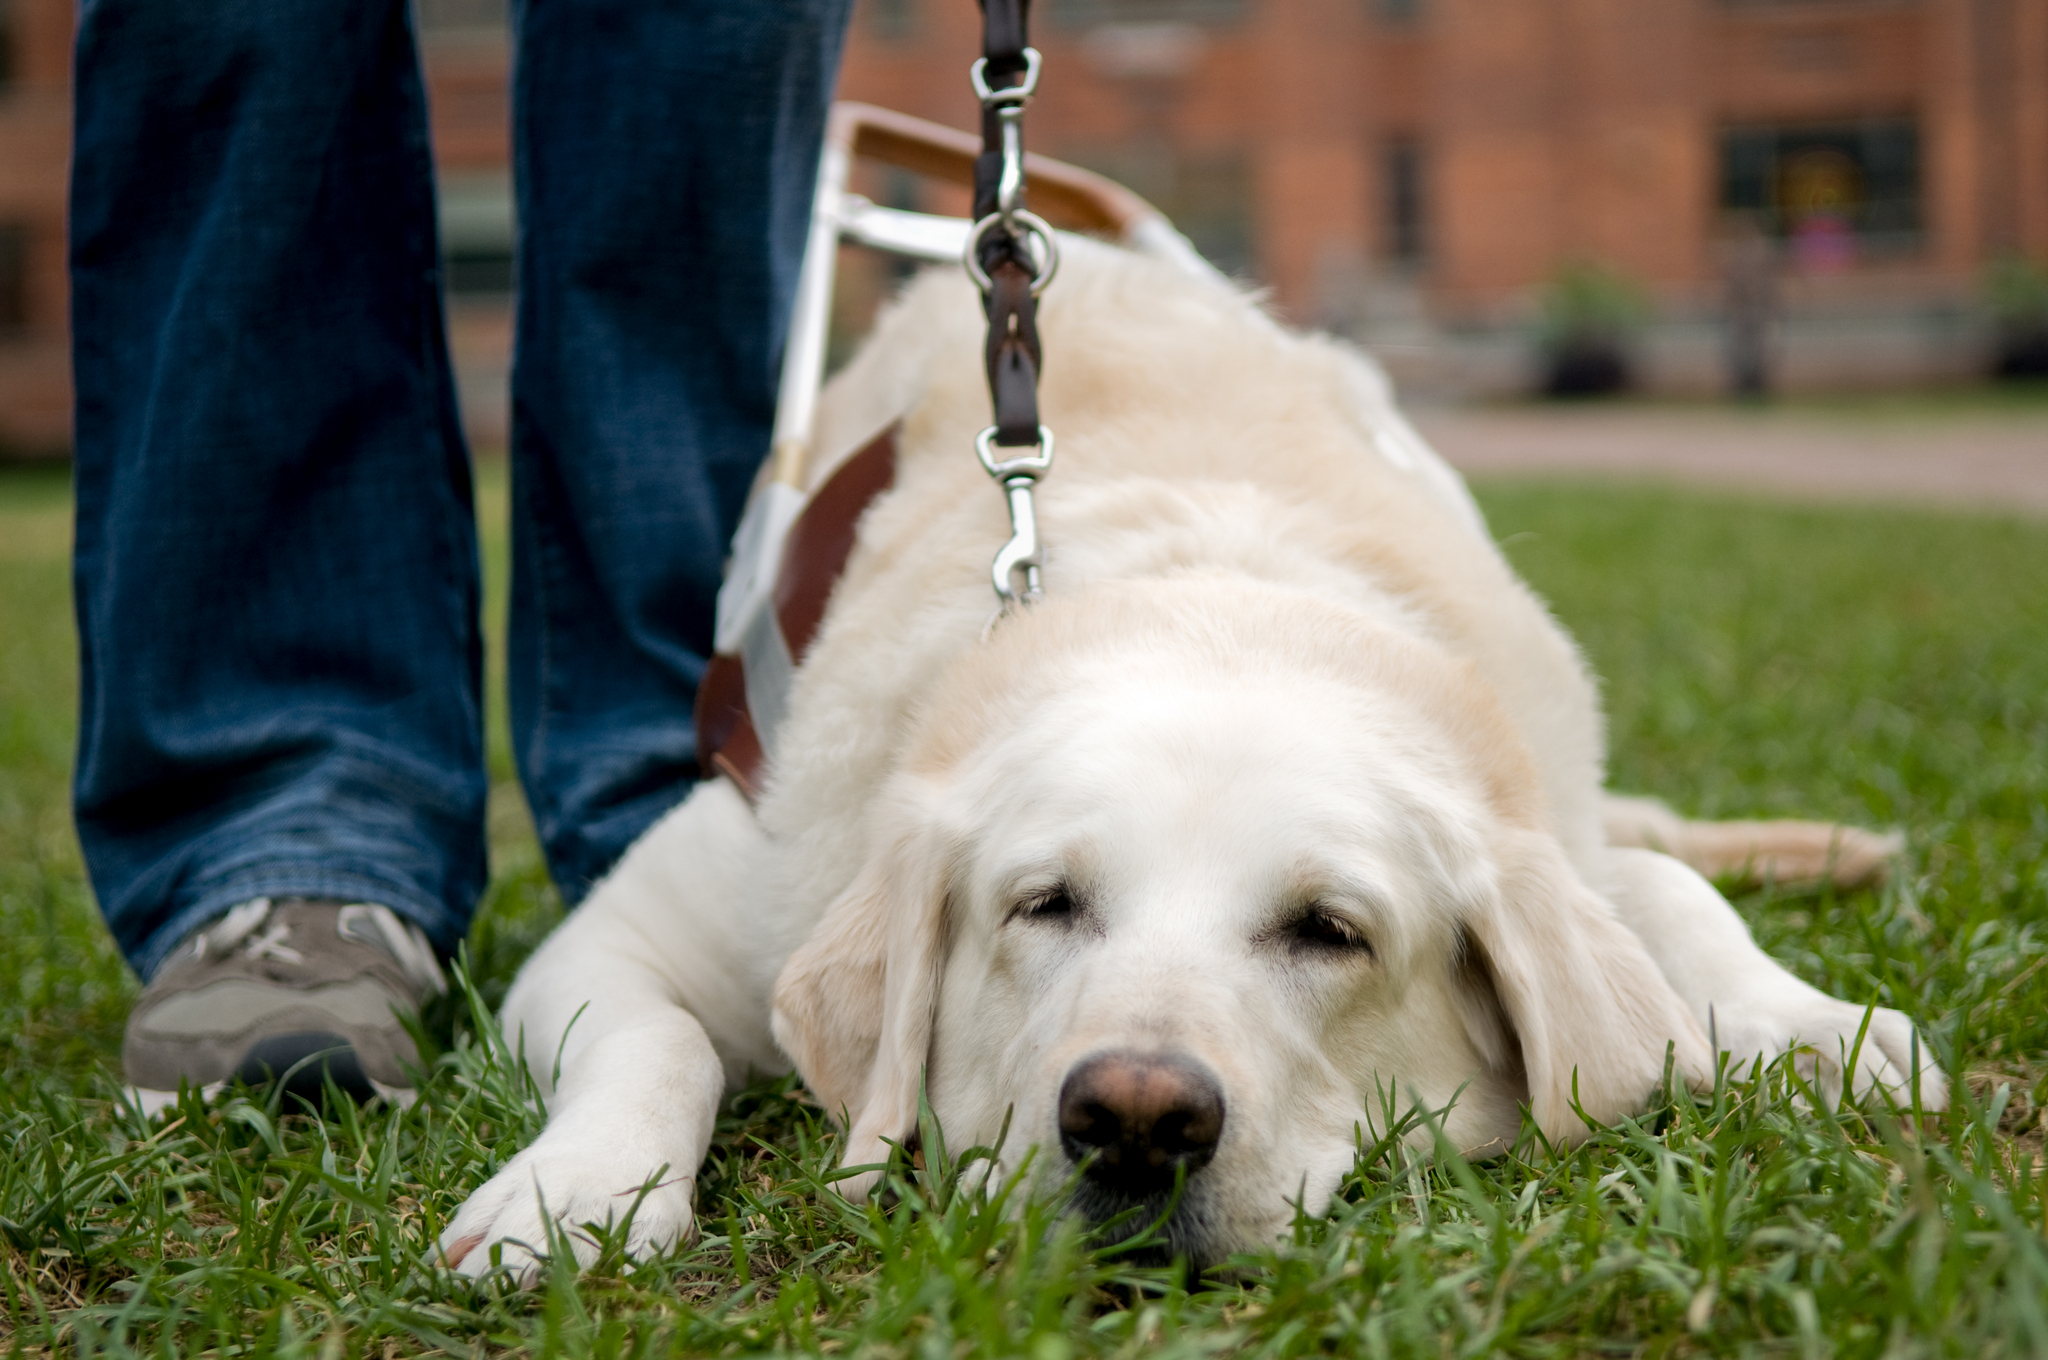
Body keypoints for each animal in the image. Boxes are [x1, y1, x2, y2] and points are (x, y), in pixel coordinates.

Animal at [440, 241, 1941, 1278]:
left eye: (1330, 930)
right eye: (1042, 905)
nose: (1137, 1118)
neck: (1208, 585)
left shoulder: (1546, 833)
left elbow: (1672, 904)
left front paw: (1814, 1026)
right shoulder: (643, 923)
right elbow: (660, 1039)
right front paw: (568, 1196)